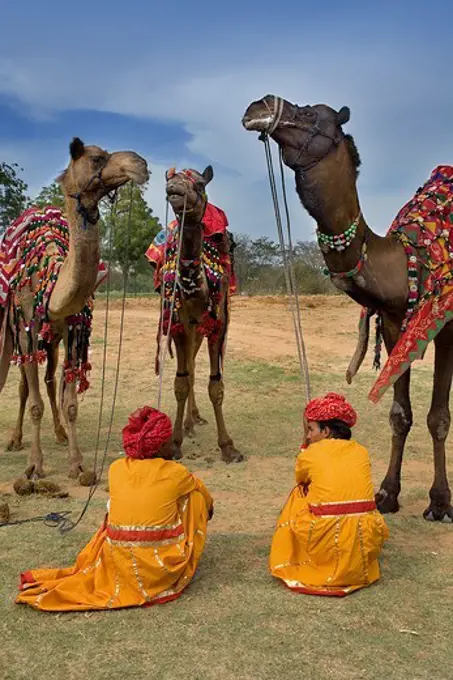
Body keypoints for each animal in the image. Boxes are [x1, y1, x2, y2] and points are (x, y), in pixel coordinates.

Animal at [0, 138, 148, 478]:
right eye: (96, 158)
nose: (141, 163)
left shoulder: (71, 328)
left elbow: (70, 403)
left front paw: (77, 463)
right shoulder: (27, 327)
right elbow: (34, 403)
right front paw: (35, 465)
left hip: (52, 340)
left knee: (49, 380)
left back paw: (59, 433)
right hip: (15, 330)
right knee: (25, 387)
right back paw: (15, 440)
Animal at [162, 166, 240, 462]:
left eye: (199, 184)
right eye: (168, 178)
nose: (174, 186)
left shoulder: (218, 323)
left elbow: (216, 387)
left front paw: (228, 447)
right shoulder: (179, 323)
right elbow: (180, 383)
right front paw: (174, 444)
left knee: (194, 366)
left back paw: (194, 419)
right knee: (190, 368)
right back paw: (188, 422)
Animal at [242, 95, 452, 520]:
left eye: (308, 112)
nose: (257, 106)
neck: (408, 260)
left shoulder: (448, 327)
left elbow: (438, 417)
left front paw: (439, 502)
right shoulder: (395, 324)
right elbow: (399, 414)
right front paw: (387, 494)